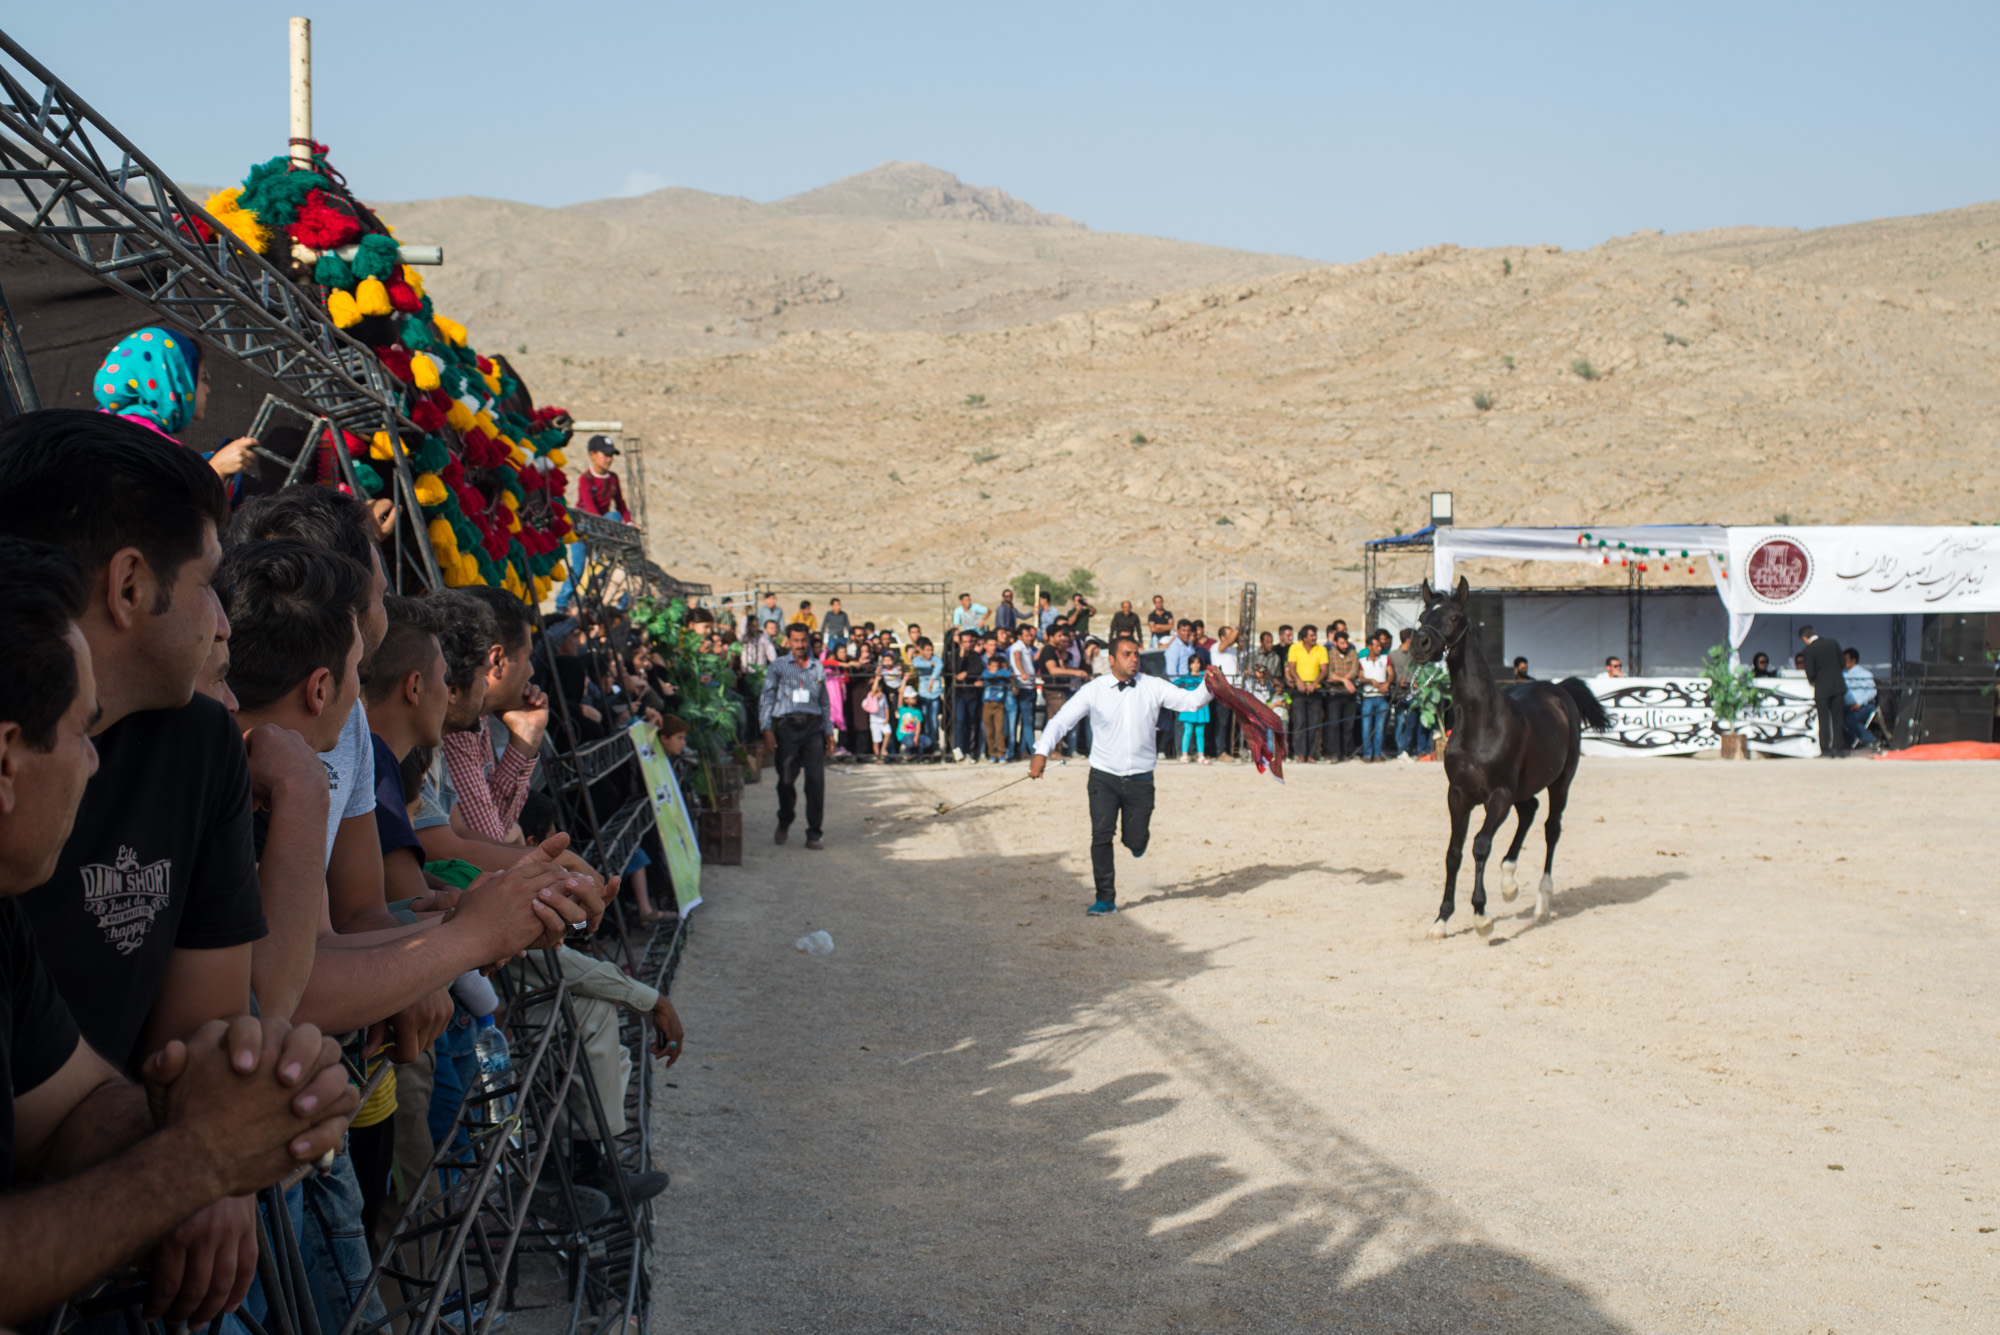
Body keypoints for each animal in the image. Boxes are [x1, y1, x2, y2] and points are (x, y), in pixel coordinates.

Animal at [1408, 575, 1608, 939]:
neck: (1481, 723)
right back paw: (1509, 882)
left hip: (1560, 783)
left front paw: (1481, 916)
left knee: (1550, 827)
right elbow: (1454, 852)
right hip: (1523, 788)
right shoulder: (1458, 796)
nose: (1421, 644)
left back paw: (1542, 902)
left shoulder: (1498, 796)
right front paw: (1441, 920)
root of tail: (1559, 690)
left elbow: (1480, 845)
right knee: (1529, 812)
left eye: (1455, 616)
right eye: (1422, 617)